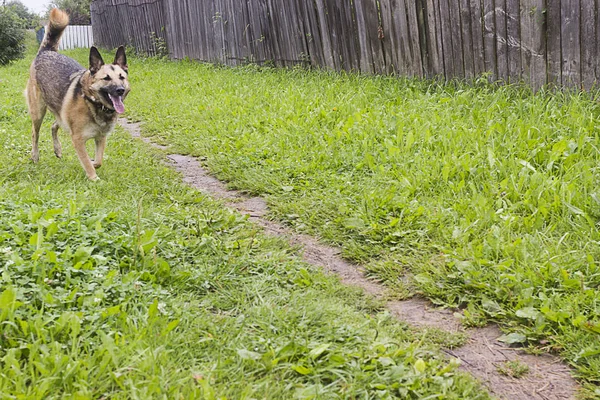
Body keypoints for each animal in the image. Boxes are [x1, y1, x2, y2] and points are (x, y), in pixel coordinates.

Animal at [25, 8, 130, 180]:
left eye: (122, 77)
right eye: (106, 78)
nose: (120, 90)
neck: (94, 103)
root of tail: (46, 52)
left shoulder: (100, 138)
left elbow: (98, 161)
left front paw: (93, 163)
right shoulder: (78, 139)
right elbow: (87, 162)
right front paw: (94, 178)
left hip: (60, 112)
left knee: (54, 125)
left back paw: (58, 149)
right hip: (38, 112)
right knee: (35, 134)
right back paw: (35, 155)